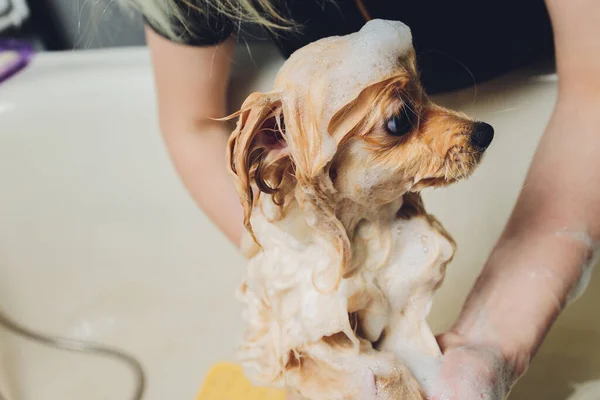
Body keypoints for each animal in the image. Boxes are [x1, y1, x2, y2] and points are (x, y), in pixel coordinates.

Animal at [227, 20, 494, 400]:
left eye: (425, 91)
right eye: (399, 120)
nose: (484, 132)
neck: (360, 229)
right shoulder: (312, 329)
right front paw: (399, 383)